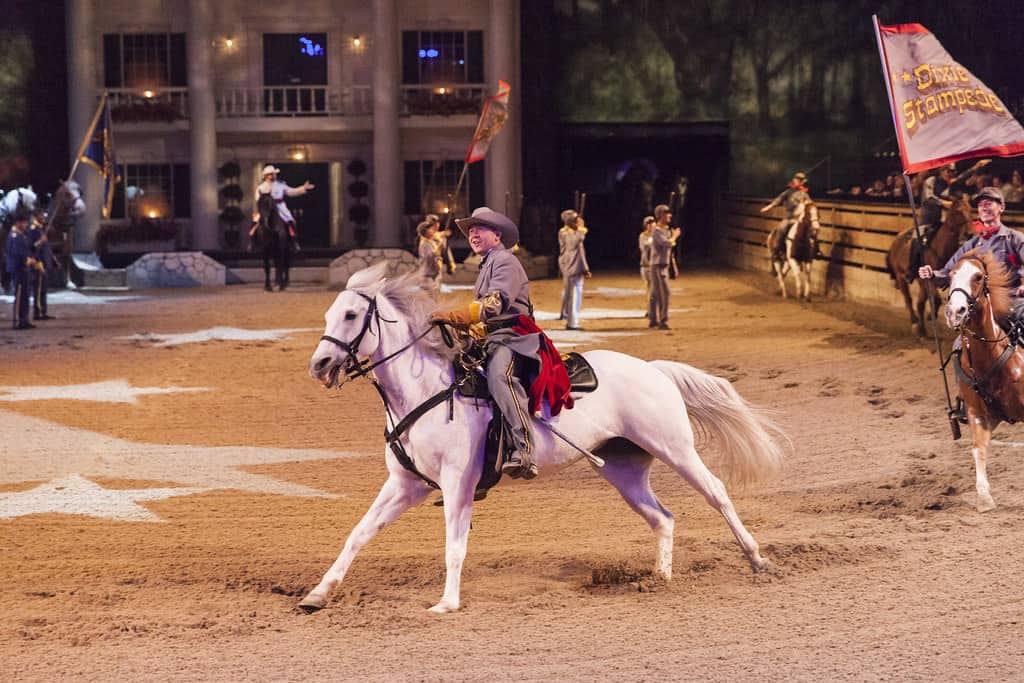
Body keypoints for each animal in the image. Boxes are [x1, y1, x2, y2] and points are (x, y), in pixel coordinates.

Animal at [299, 264, 786, 614]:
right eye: (327, 314)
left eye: (350, 315)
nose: (319, 364)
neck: (426, 393)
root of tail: (653, 369)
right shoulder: (406, 485)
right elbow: (359, 534)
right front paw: (319, 594)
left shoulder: (458, 483)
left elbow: (454, 545)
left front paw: (447, 603)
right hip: (625, 469)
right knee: (662, 518)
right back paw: (659, 579)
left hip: (676, 449)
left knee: (716, 493)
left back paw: (757, 558)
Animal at [884, 194, 970, 335]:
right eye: (957, 212)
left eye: (970, 210)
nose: (969, 233)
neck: (940, 246)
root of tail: (896, 241)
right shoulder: (929, 281)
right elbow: (936, 299)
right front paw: (931, 316)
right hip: (901, 276)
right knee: (908, 299)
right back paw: (914, 322)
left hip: (919, 282)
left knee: (919, 304)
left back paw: (922, 329)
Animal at [942, 250, 1024, 511]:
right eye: (951, 275)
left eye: (978, 276)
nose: (954, 311)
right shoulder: (978, 414)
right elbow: (978, 449)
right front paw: (984, 498)